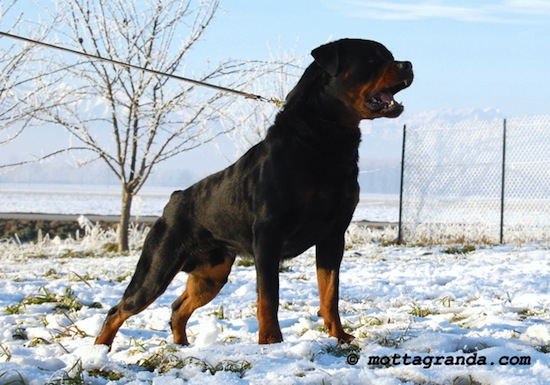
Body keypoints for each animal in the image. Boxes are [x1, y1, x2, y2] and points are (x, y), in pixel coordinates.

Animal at [96, 39, 414, 348]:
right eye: (371, 59)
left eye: (390, 56)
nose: (408, 64)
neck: (326, 140)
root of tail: (173, 200)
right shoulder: (268, 235)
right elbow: (269, 296)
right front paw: (271, 341)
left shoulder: (333, 236)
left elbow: (330, 293)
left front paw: (339, 337)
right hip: (157, 268)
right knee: (119, 309)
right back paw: (101, 349)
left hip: (212, 274)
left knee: (178, 307)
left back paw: (182, 346)